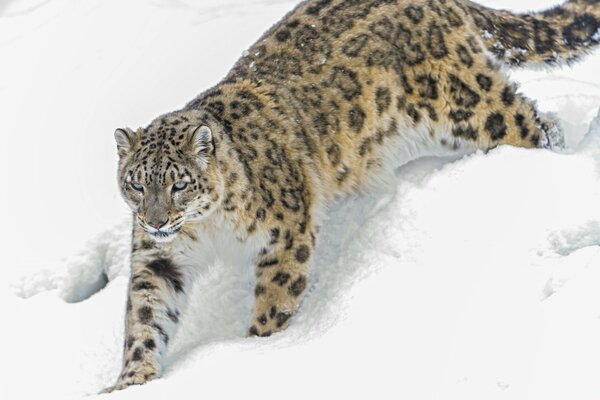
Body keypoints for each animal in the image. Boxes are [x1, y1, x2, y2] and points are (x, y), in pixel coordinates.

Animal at [105, 0, 600, 392]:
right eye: (136, 183)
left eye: (179, 183)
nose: (155, 221)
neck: (208, 228)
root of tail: (443, 3)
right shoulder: (158, 258)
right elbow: (145, 316)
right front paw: (131, 381)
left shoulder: (286, 234)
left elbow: (275, 301)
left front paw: (255, 350)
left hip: (469, 107)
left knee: (538, 125)